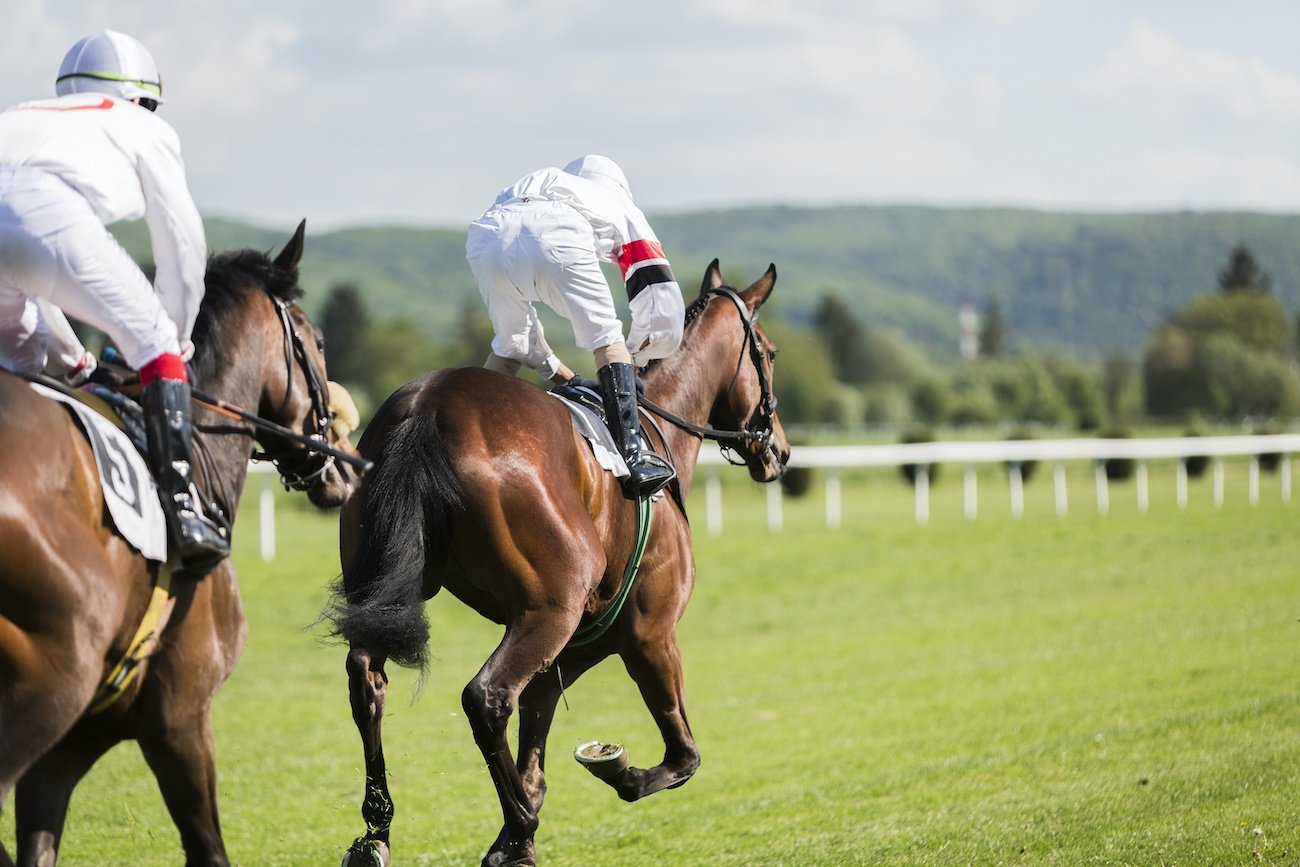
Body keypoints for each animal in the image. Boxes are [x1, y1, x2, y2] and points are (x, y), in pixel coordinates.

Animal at [0, 226, 361, 867]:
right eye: (317, 341)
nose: (341, 461)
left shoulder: (65, 750)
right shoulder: (180, 717)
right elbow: (208, 849)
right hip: (52, 682)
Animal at [330, 261, 785, 863]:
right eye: (771, 353)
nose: (779, 451)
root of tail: (428, 406)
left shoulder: (575, 646)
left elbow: (535, 756)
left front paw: (512, 838)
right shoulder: (647, 633)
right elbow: (683, 755)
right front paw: (612, 772)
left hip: (394, 594)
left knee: (367, 678)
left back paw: (377, 830)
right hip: (551, 610)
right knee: (486, 697)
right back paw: (515, 819)